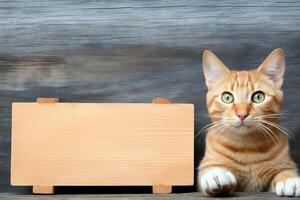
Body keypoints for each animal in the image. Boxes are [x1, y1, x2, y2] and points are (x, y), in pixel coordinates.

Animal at [198, 48, 298, 197]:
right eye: (227, 97)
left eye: (258, 97)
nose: (242, 114)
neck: (248, 148)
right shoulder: (208, 163)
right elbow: (211, 169)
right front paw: (216, 175)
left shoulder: (286, 164)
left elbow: (286, 171)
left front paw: (289, 179)